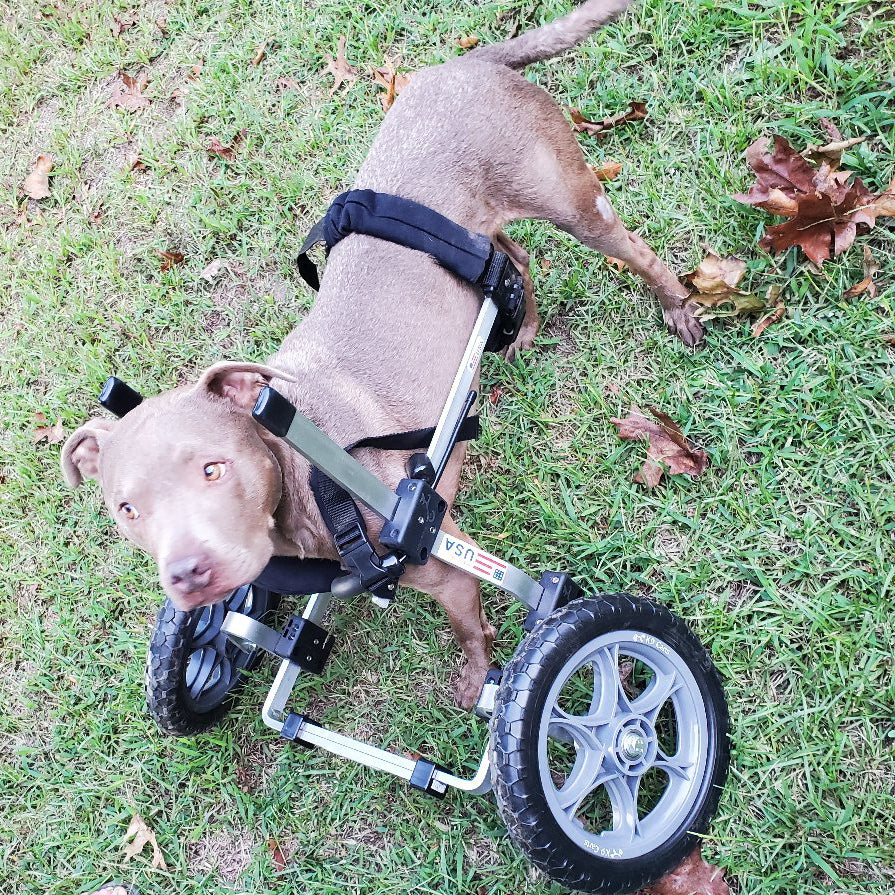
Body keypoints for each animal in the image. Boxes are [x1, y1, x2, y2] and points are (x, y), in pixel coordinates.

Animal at [66, 1, 704, 712]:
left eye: (213, 468)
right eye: (126, 509)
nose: (187, 573)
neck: (308, 467)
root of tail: (469, 62)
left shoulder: (448, 567)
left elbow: (474, 626)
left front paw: (480, 679)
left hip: (572, 201)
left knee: (632, 251)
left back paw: (678, 308)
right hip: (486, 240)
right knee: (513, 263)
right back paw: (524, 332)